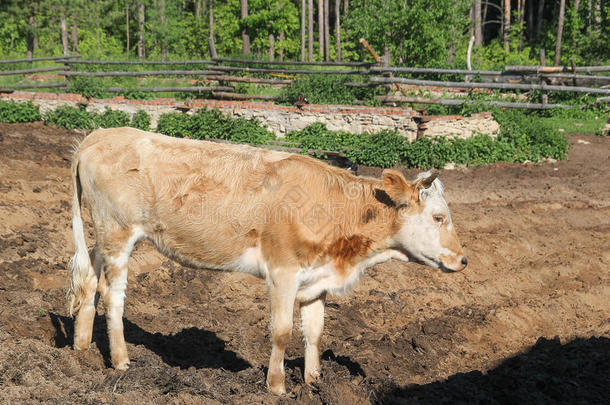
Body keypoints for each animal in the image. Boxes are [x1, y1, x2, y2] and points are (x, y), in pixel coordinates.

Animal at [67, 125, 466, 392]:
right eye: (438, 217)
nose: (463, 261)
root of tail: (98, 135)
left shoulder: (316, 278)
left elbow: (314, 331)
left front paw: (314, 381)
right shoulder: (283, 272)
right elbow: (282, 331)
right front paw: (277, 386)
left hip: (103, 236)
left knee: (89, 278)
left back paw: (81, 347)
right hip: (118, 233)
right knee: (113, 295)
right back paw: (121, 361)